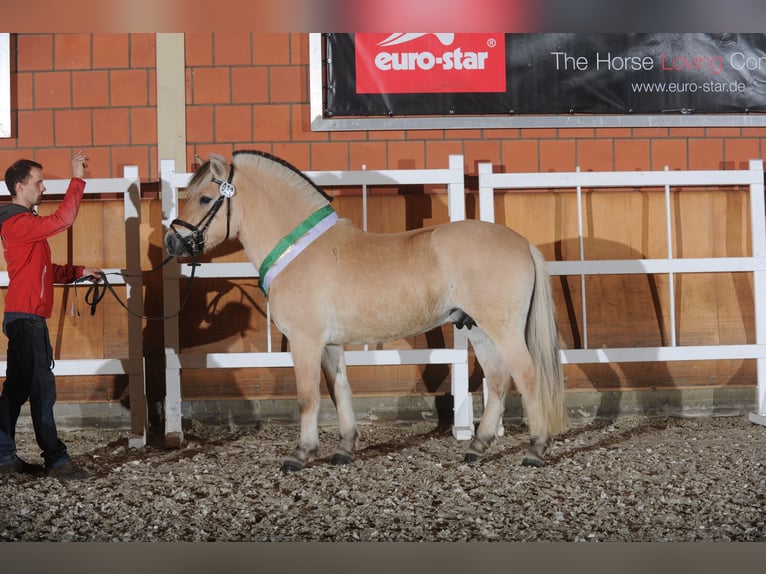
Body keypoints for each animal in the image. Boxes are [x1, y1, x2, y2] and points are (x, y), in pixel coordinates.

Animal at [164, 150, 567, 472]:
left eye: (205, 199)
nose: (173, 241)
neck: (299, 248)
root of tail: (522, 243)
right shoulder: (330, 344)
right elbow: (339, 388)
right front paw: (344, 449)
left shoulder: (305, 341)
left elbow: (307, 397)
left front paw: (300, 454)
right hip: (478, 328)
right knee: (498, 380)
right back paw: (477, 447)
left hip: (503, 330)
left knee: (527, 377)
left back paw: (535, 449)